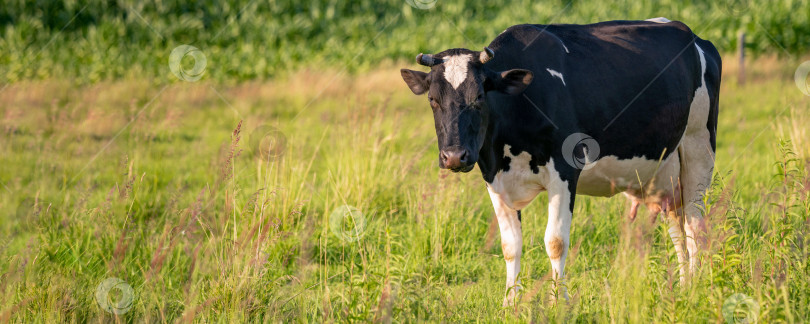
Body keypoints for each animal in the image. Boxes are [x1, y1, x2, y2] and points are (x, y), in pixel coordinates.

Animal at [398, 18, 720, 306]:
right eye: (432, 99)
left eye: (478, 97)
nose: (454, 156)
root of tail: (695, 38)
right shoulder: (493, 175)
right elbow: (510, 245)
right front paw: (510, 303)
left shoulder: (565, 171)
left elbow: (555, 242)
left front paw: (558, 302)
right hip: (665, 171)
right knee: (676, 227)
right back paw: (682, 286)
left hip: (698, 146)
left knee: (694, 223)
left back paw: (695, 287)